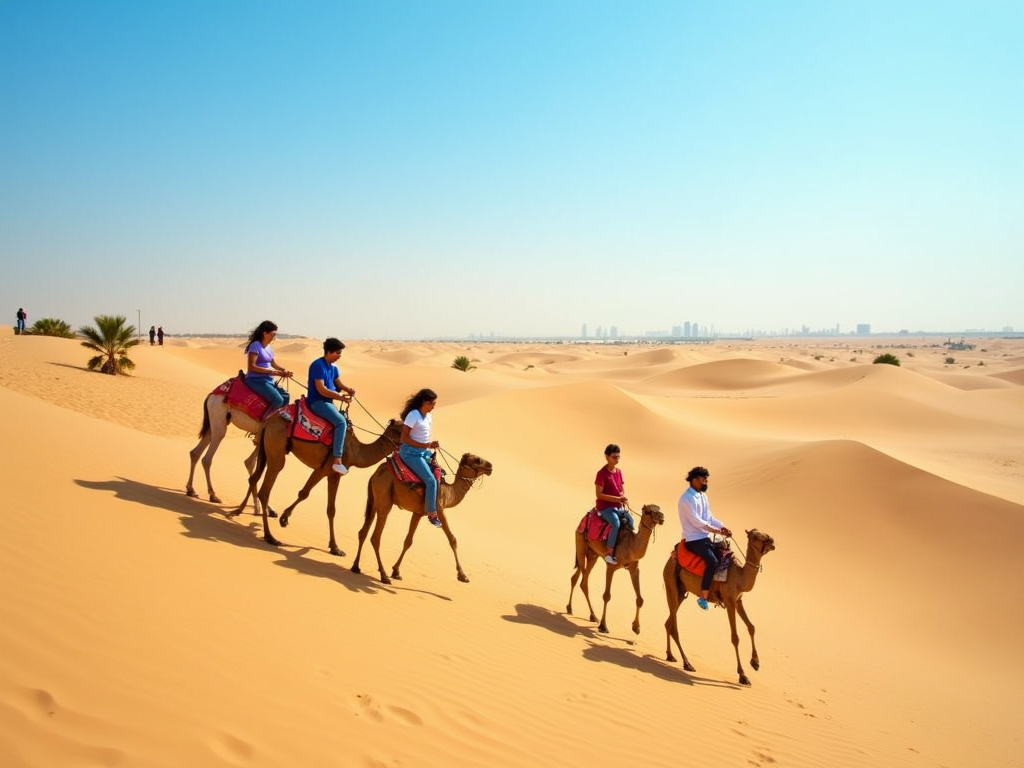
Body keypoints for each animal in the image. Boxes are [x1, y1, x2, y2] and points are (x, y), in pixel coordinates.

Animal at [237, 411, 401, 557]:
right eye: (402, 431)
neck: (356, 451)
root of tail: (269, 421)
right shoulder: (323, 469)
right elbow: (304, 493)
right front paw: (284, 518)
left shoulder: (334, 475)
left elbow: (331, 509)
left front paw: (335, 548)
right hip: (276, 449)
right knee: (266, 488)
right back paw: (270, 536)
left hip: (265, 449)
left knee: (254, 477)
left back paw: (238, 511)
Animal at [352, 454, 491, 585]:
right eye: (477, 460)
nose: (491, 466)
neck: (448, 493)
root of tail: (375, 474)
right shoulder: (439, 510)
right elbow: (453, 540)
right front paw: (462, 575)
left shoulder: (417, 513)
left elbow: (408, 541)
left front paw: (396, 571)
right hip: (384, 498)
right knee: (375, 537)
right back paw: (384, 576)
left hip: (374, 501)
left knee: (363, 532)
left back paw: (356, 567)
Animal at [569, 501, 663, 634]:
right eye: (648, 511)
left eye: (659, 509)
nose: (662, 517)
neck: (630, 545)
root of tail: (586, 516)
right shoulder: (611, 567)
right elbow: (606, 596)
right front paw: (603, 626)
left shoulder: (634, 569)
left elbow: (640, 599)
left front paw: (636, 627)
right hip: (580, 543)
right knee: (582, 580)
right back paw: (584, 613)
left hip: (592, 554)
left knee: (579, 579)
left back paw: (585, 613)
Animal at [663, 532, 774, 688]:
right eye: (757, 536)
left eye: (765, 535)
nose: (772, 542)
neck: (739, 575)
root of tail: (671, 557)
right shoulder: (729, 601)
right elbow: (735, 637)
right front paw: (743, 676)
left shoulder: (738, 600)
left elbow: (751, 627)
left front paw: (755, 663)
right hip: (671, 585)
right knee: (674, 627)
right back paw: (687, 663)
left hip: (681, 591)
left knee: (668, 622)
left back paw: (670, 655)